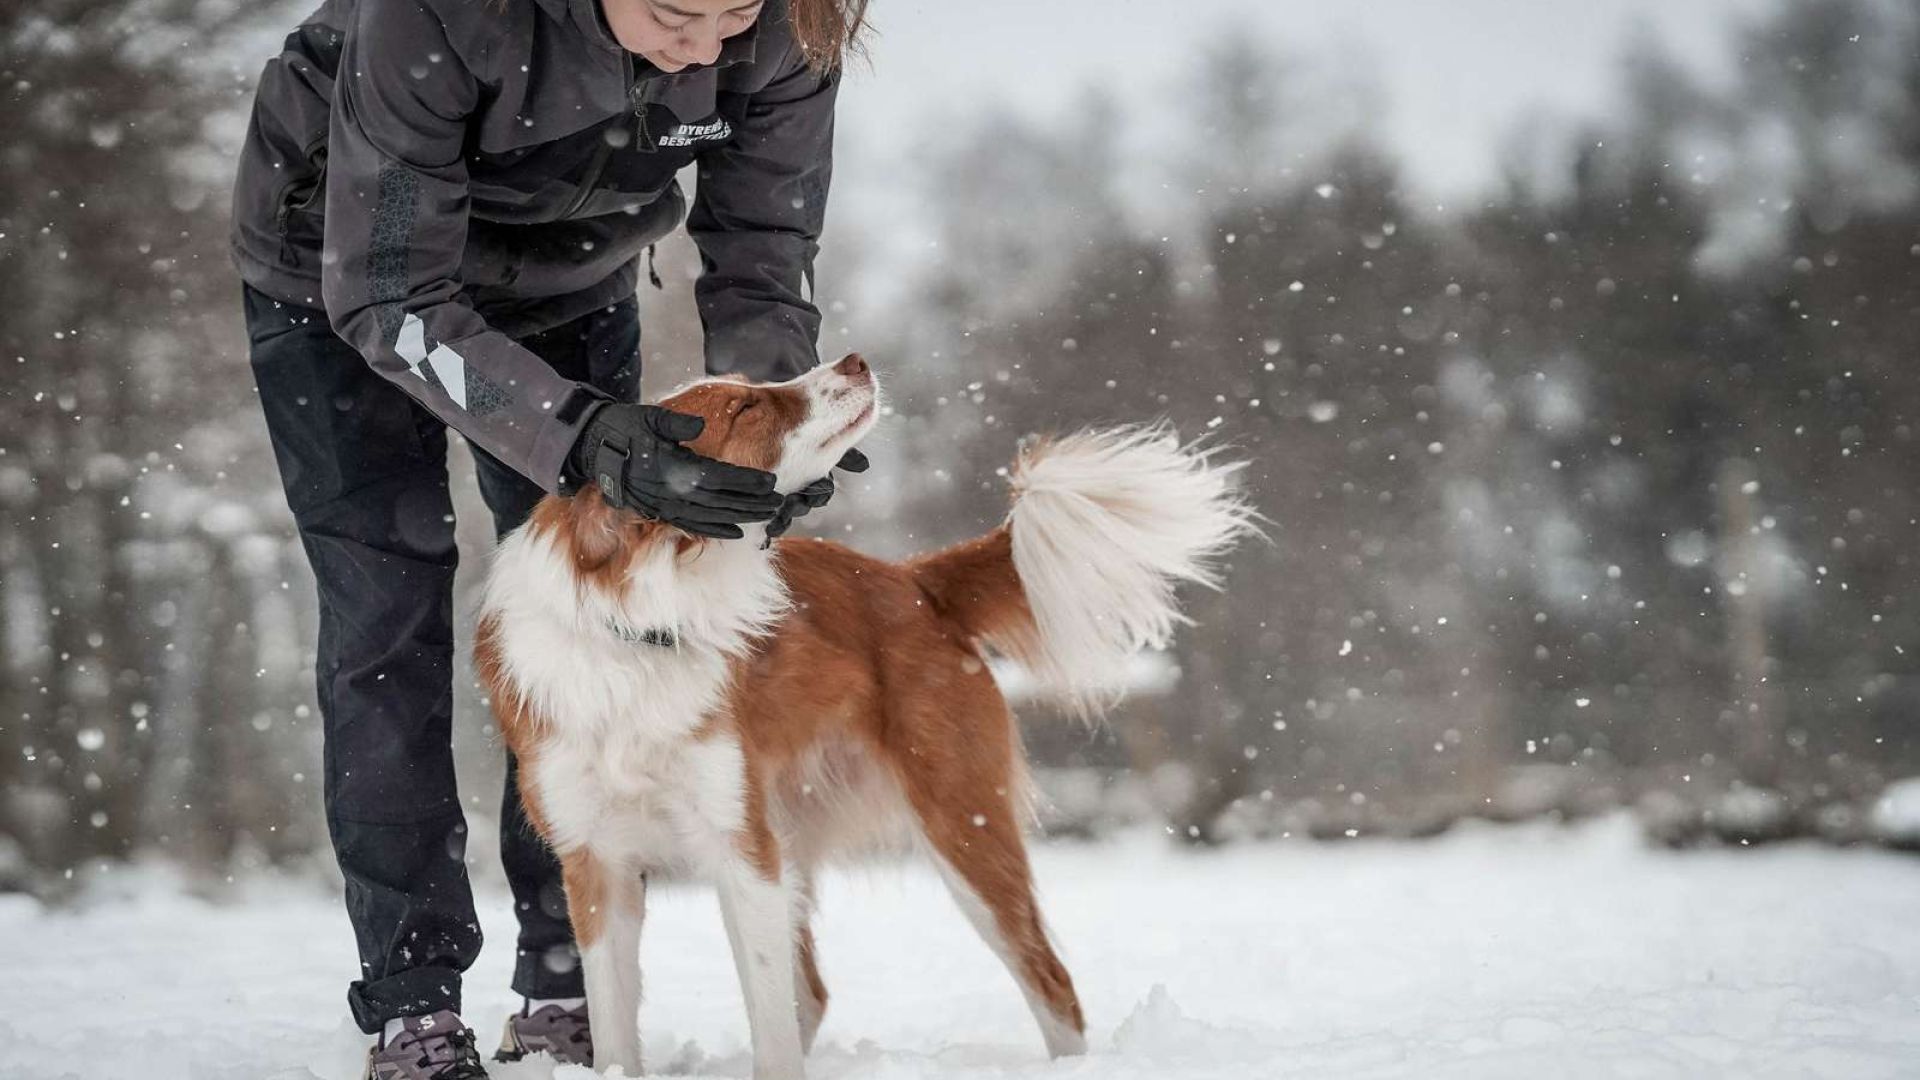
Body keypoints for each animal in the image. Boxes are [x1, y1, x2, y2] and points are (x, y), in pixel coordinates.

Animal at [478, 351, 1251, 1068]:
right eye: (746, 408)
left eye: (749, 389)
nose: (852, 360)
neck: (640, 634)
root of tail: (915, 581)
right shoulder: (596, 863)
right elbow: (615, 1024)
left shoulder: (741, 848)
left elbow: (770, 1023)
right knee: (815, 993)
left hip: (960, 823)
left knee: (1051, 982)